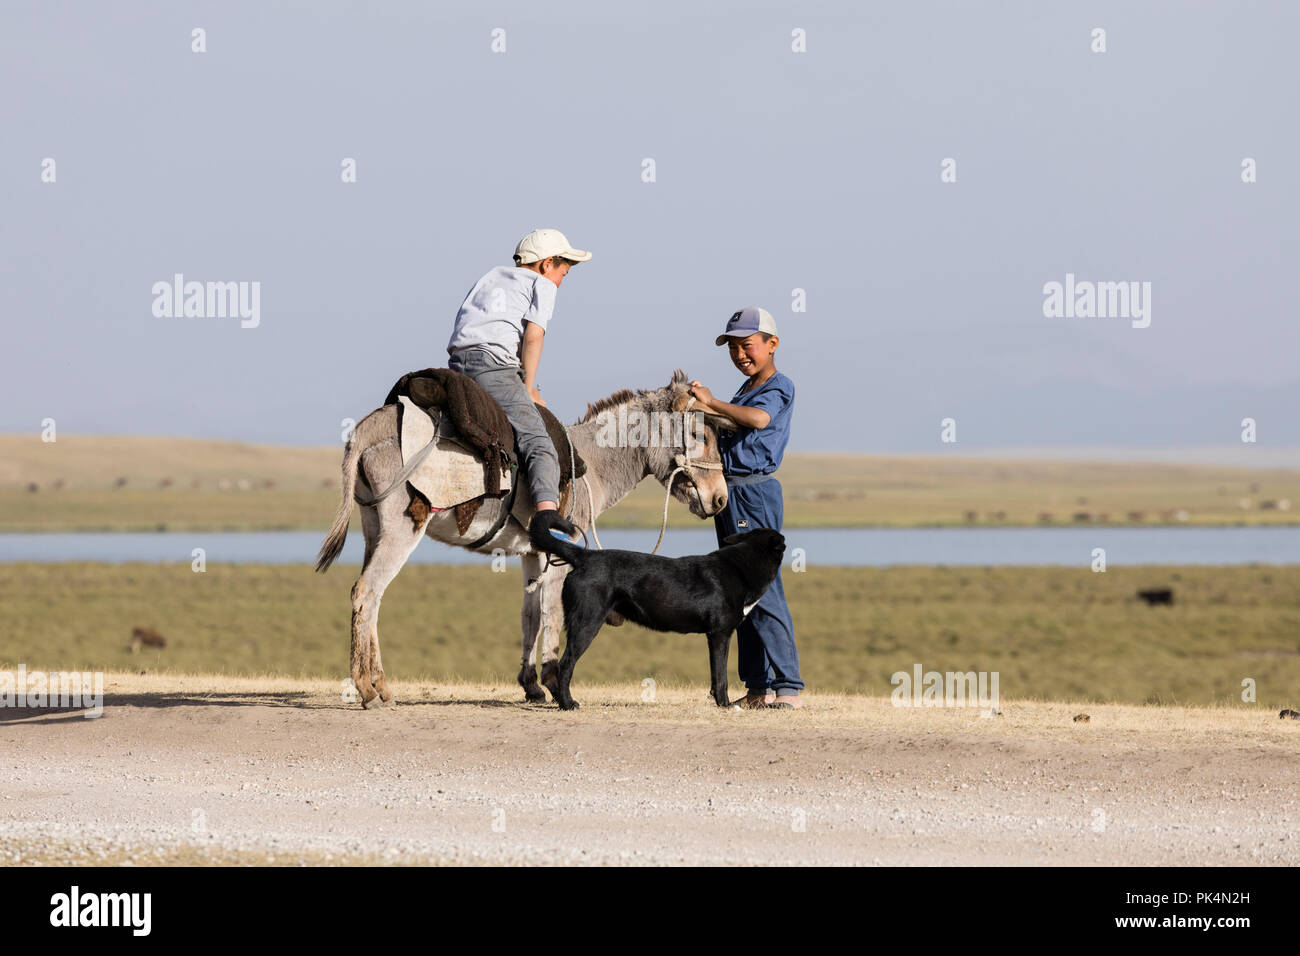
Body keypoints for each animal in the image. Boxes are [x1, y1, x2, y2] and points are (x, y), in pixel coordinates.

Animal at [525, 522, 780, 712]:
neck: (741, 566)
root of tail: (585, 556)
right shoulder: (720, 634)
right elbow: (721, 674)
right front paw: (724, 704)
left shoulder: (715, 637)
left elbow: (715, 673)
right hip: (586, 623)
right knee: (565, 664)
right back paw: (568, 704)